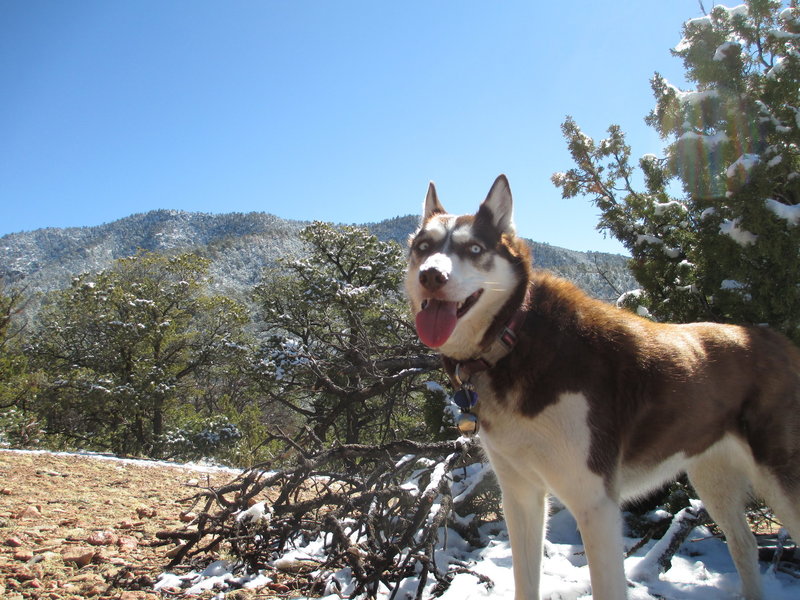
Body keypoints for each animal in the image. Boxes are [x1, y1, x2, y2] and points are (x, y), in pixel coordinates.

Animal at [406, 175, 800, 600]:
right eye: (423, 247)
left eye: (474, 249)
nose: (432, 275)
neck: (513, 337)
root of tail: (779, 340)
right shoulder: (521, 495)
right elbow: (526, 582)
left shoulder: (595, 503)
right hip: (713, 479)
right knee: (743, 544)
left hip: (781, 480)